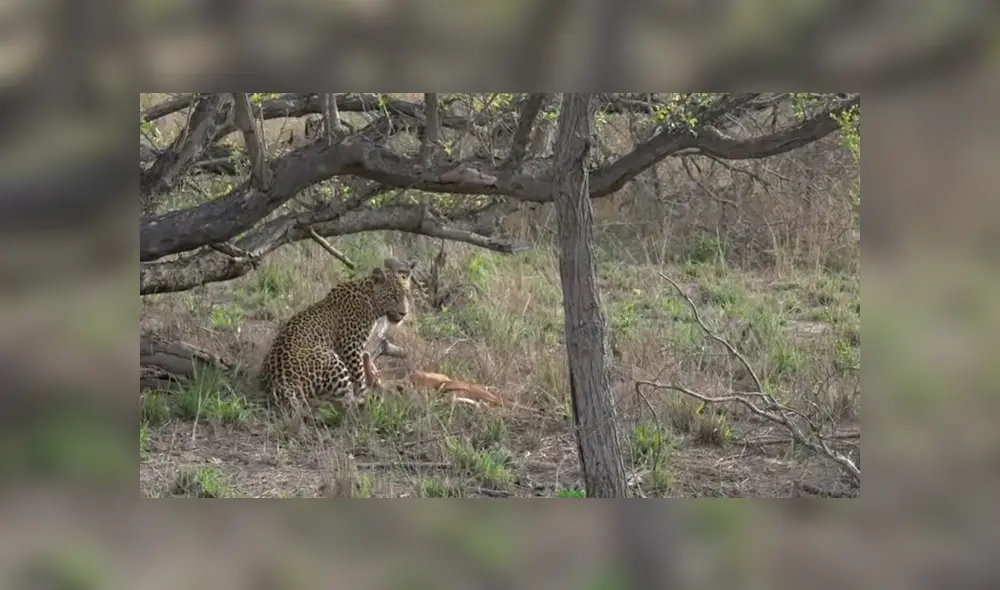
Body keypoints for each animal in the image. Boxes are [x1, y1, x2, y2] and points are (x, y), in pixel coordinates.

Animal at [259, 257, 417, 413]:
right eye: (393, 296)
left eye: (407, 296)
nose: (404, 313)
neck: (370, 300)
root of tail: (281, 383)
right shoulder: (350, 346)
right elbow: (359, 376)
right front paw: (364, 392)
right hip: (331, 359)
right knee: (347, 401)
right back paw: (371, 399)